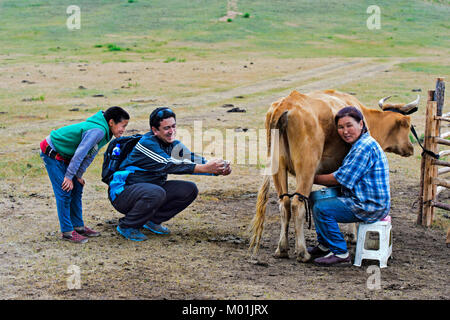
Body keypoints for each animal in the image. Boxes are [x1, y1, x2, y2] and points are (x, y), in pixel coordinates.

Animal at [250, 89, 418, 262]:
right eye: (408, 125)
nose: (411, 148)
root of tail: (286, 104)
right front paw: (353, 235)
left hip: (278, 168)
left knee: (284, 204)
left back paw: (282, 249)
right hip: (306, 168)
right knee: (297, 205)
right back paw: (303, 252)